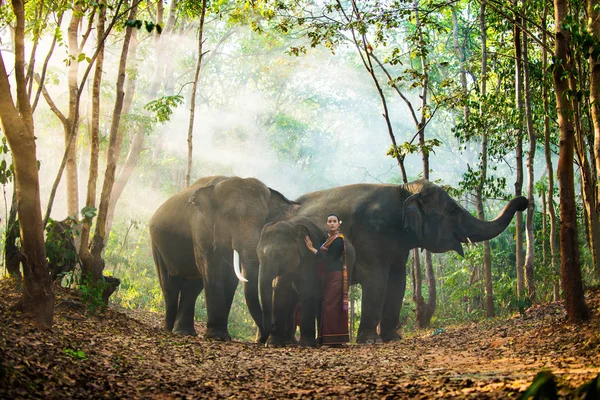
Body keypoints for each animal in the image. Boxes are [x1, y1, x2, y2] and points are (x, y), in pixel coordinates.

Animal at [148, 176, 298, 340]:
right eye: (229, 216)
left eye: (264, 218)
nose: (265, 334)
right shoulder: (201, 228)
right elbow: (211, 268)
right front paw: (217, 336)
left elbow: (230, 276)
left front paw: (221, 335)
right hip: (157, 245)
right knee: (169, 285)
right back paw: (169, 329)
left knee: (192, 287)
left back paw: (184, 332)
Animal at [255, 216, 354, 346]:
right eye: (258, 254)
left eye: (279, 253)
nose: (272, 326)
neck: (292, 225)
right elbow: (280, 291)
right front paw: (273, 343)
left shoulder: (310, 260)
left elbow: (308, 291)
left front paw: (306, 344)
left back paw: (326, 342)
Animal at [292, 179, 528, 344]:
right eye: (453, 211)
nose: (523, 202)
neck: (404, 190)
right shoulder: (371, 233)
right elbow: (376, 279)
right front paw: (370, 341)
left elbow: (398, 281)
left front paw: (393, 338)